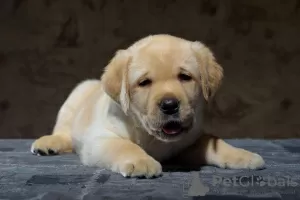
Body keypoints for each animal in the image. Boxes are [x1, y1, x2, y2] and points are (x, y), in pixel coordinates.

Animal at [31, 34, 264, 178]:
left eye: (185, 77)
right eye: (144, 82)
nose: (169, 105)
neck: (153, 138)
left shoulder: (190, 140)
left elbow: (214, 142)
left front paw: (243, 156)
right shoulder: (99, 138)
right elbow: (124, 145)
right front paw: (141, 161)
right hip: (76, 95)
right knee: (64, 133)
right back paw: (48, 143)